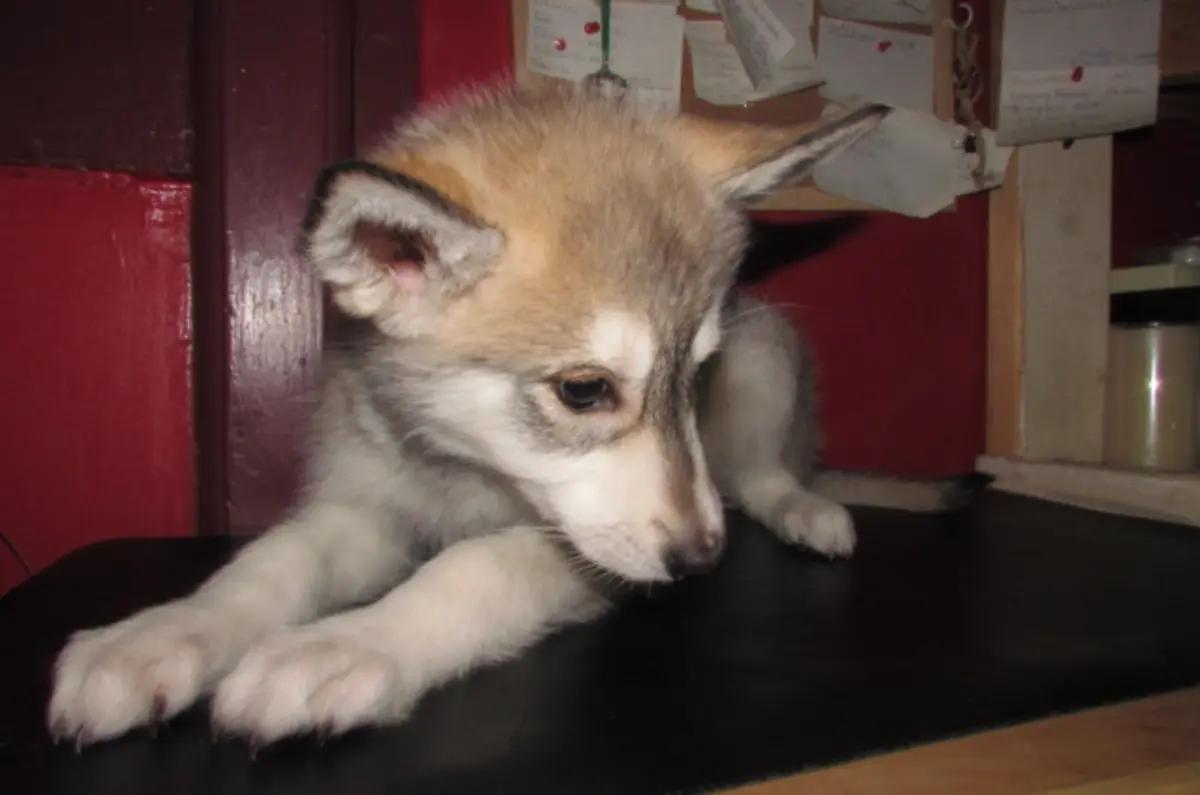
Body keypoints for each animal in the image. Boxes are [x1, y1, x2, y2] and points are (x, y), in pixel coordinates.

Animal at [48, 86, 959, 747]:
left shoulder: (588, 554)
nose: (702, 560)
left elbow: (471, 569)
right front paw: (161, 633)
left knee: (767, 474)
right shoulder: (367, 505)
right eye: (585, 391)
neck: (470, 469)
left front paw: (348, 645)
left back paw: (808, 510)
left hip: (768, 352)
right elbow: (271, 563)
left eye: (698, 374)